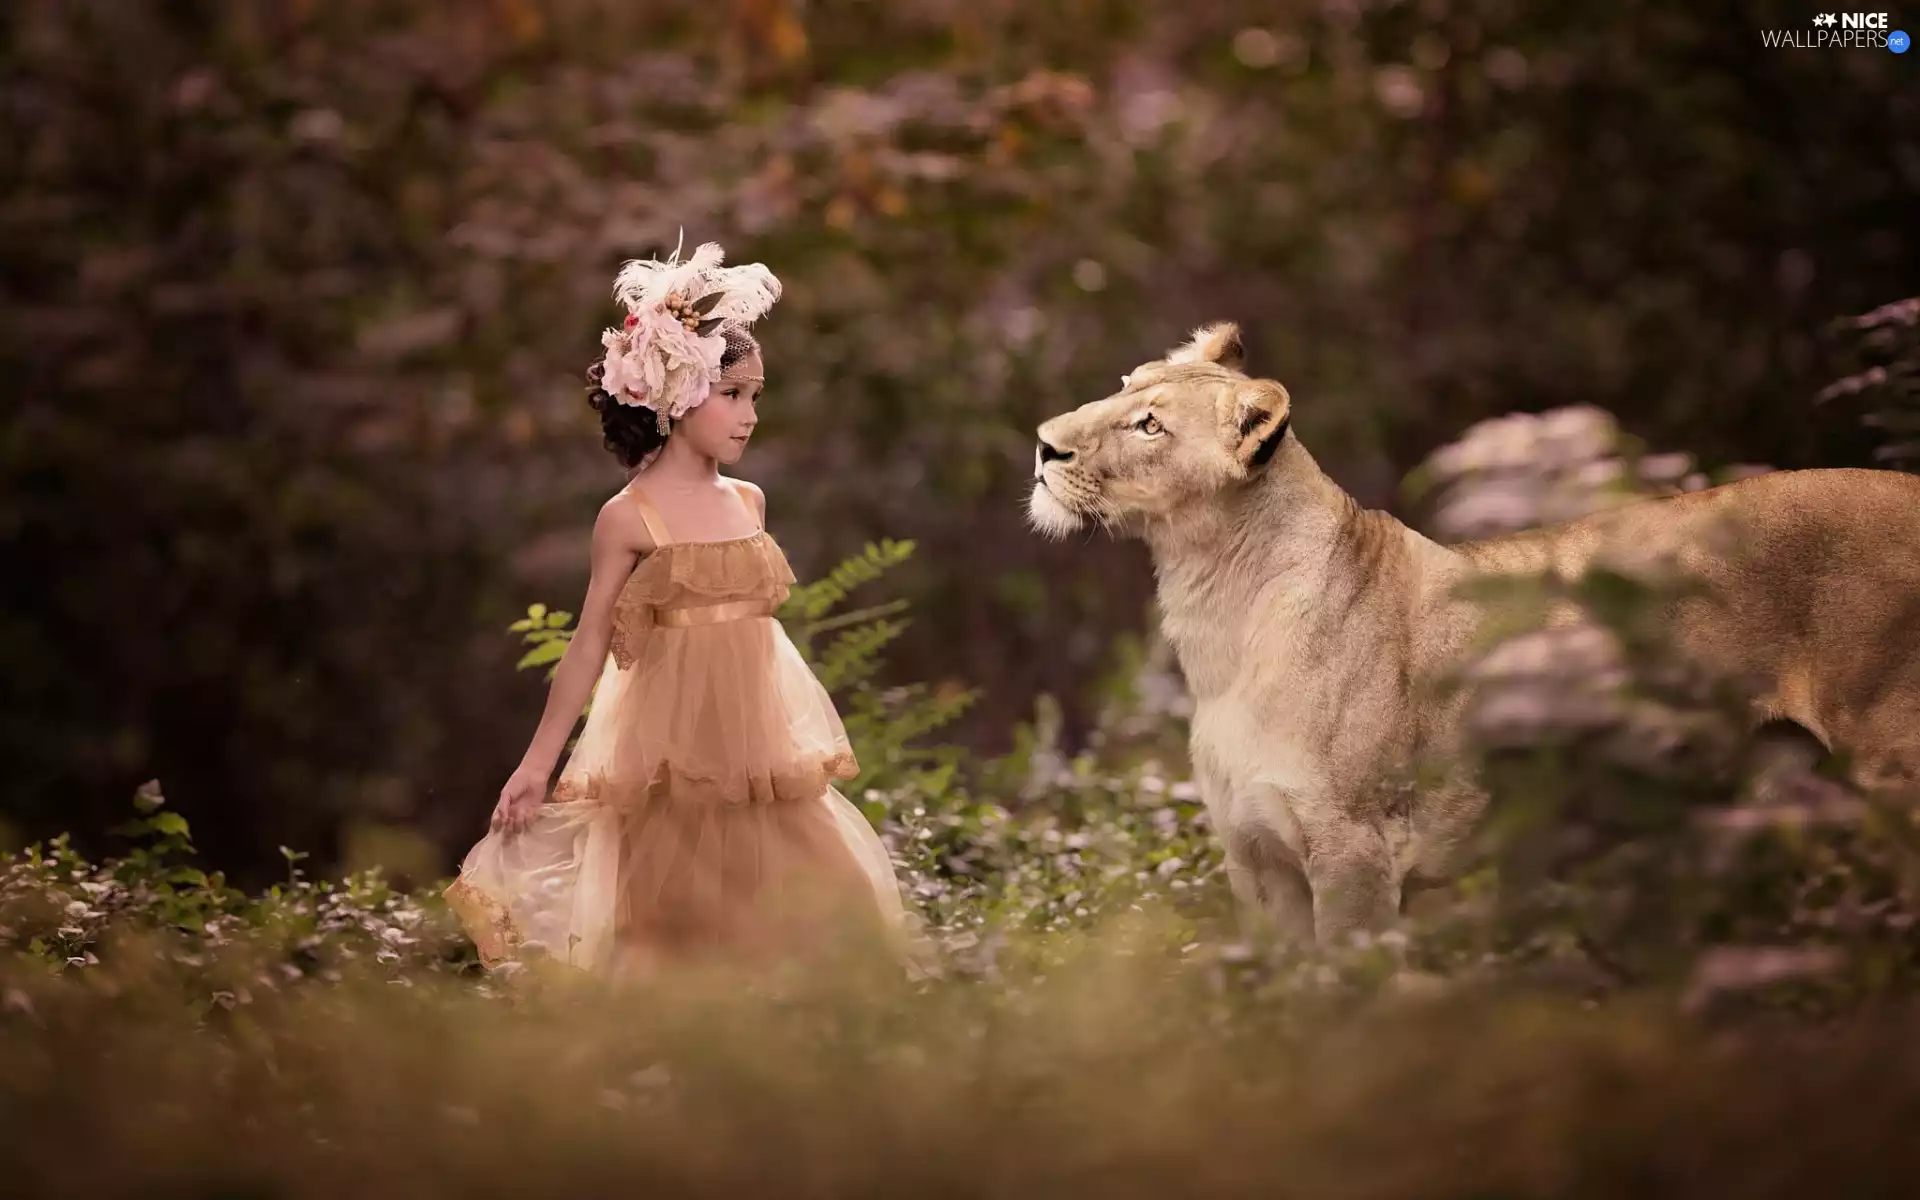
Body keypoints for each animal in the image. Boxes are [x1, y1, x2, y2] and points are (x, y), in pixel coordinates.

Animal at [1029, 321, 1920, 945]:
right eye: (1123, 385)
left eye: (1150, 426)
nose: (1042, 444)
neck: (1213, 612)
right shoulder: (1257, 864)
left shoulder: (1353, 854)